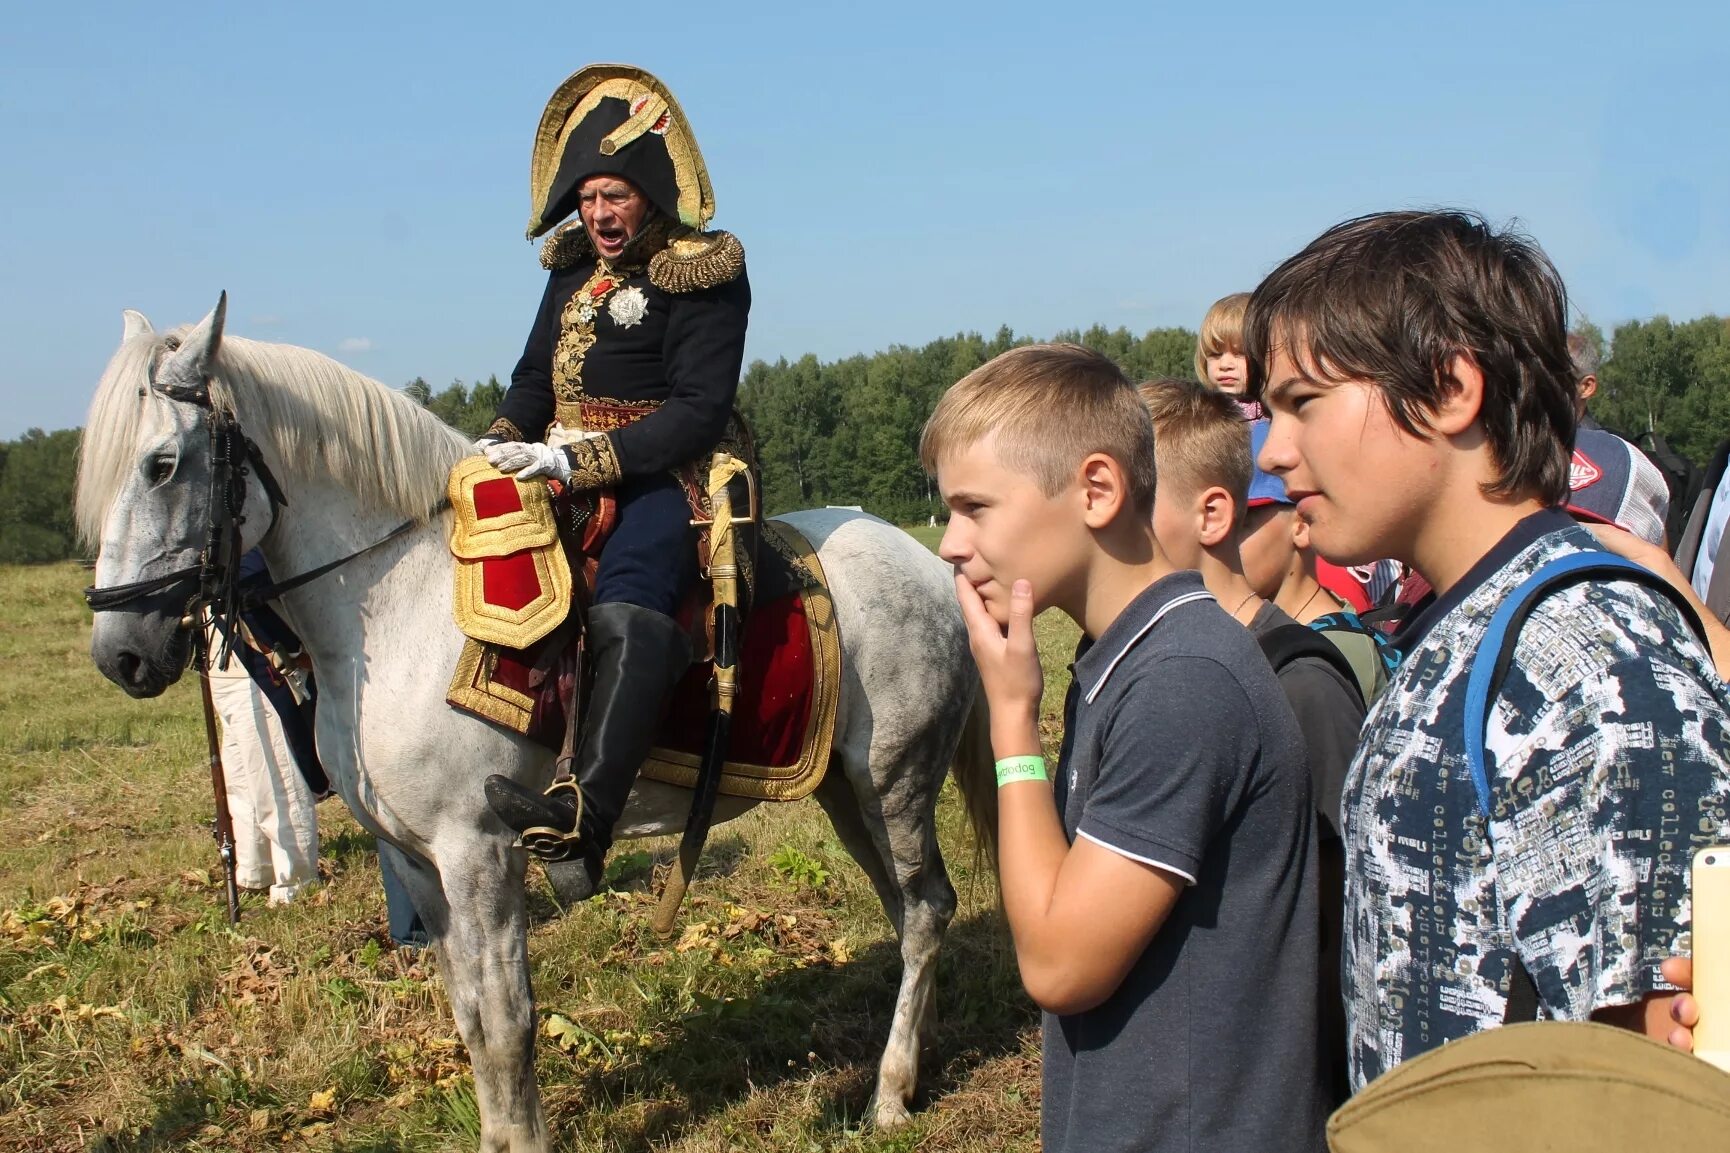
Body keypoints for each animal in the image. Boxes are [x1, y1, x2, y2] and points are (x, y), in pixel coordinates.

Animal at [81, 297, 996, 1149]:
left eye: (162, 464)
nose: (121, 651)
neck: (394, 597)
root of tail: (933, 568)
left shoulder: (479, 849)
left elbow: (508, 1020)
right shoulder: (416, 858)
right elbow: (468, 1016)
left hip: (894, 781)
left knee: (926, 909)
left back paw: (888, 1093)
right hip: (846, 792)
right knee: (906, 910)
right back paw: (919, 1056)